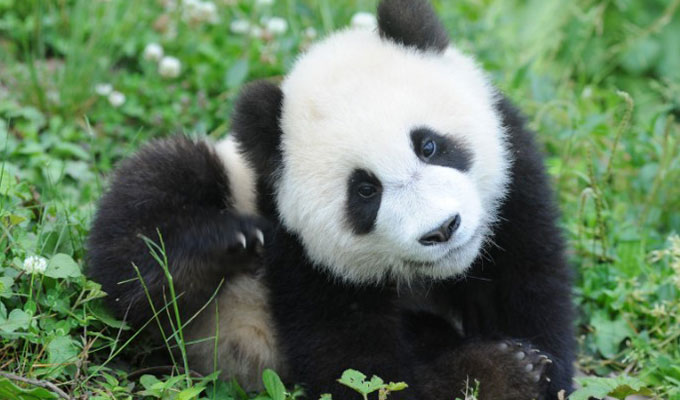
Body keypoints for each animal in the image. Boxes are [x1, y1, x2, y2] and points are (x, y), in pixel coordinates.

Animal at [85, 0, 572, 398]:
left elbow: (531, 283)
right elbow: (356, 368)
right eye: (365, 190)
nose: (441, 229)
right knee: (144, 222)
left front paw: (537, 369)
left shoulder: (516, 186)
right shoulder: (300, 252)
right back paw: (212, 249)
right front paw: (499, 374)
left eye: (429, 145)